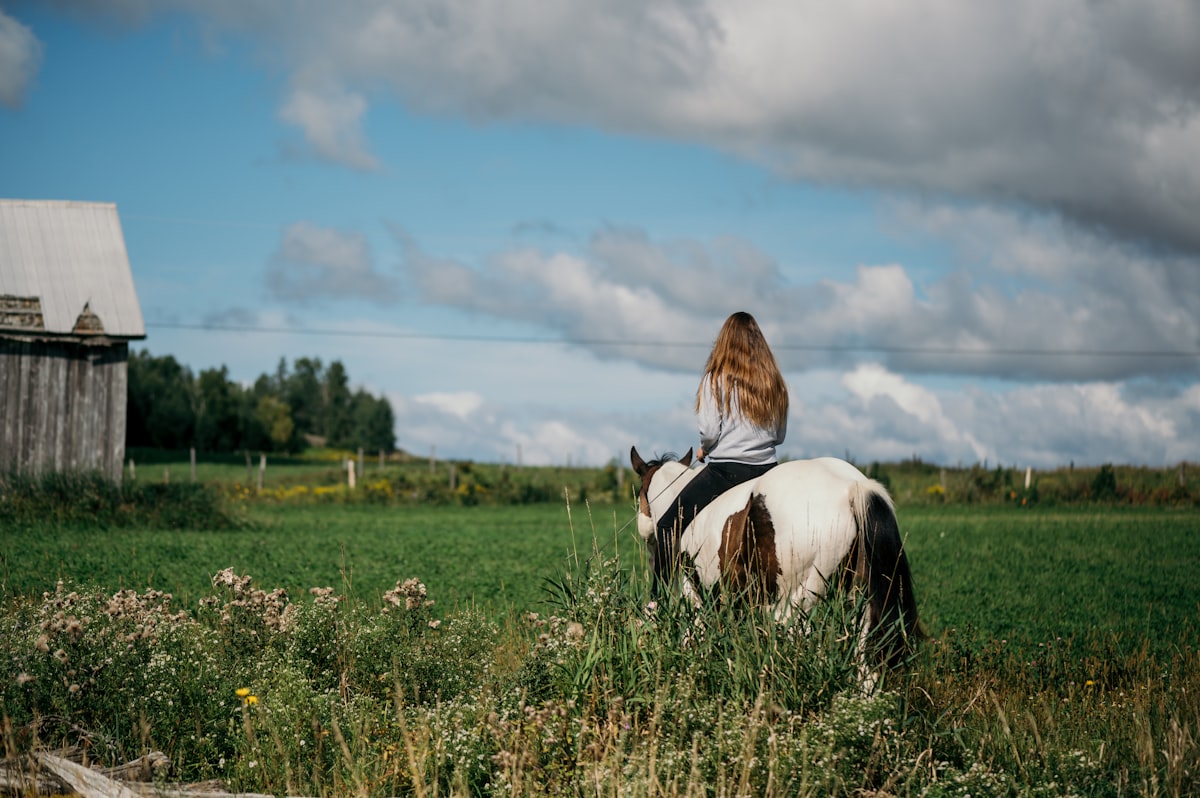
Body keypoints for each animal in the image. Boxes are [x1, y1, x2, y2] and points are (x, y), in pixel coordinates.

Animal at [630, 446, 921, 668]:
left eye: (641, 492)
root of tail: (851, 487)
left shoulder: (694, 588)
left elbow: (694, 634)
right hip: (858, 603)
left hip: (795, 602)